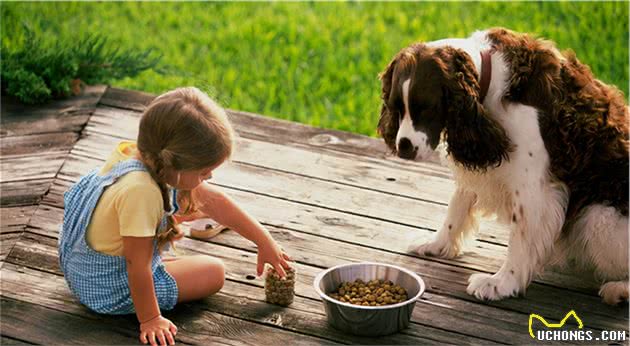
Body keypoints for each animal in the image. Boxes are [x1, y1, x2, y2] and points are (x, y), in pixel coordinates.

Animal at [378, 27, 628, 302]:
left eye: (427, 108)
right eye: (396, 107)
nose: (403, 147)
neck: (490, 80)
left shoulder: (533, 186)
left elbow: (519, 238)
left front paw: (501, 283)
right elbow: (456, 207)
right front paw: (436, 244)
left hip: (597, 219)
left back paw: (620, 289)